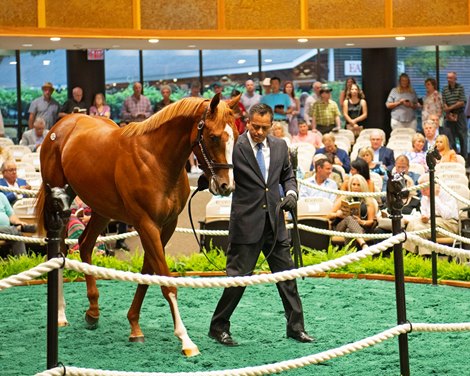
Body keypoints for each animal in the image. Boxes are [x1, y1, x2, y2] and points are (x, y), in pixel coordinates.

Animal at [35, 94, 239, 356]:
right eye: (213, 136)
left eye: (235, 135)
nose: (226, 186)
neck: (155, 160)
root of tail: (62, 125)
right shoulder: (146, 225)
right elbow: (167, 283)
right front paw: (186, 340)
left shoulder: (166, 226)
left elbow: (148, 273)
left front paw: (134, 326)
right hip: (61, 205)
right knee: (59, 252)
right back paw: (61, 314)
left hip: (102, 209)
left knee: (85, 244)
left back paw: (93, 311)